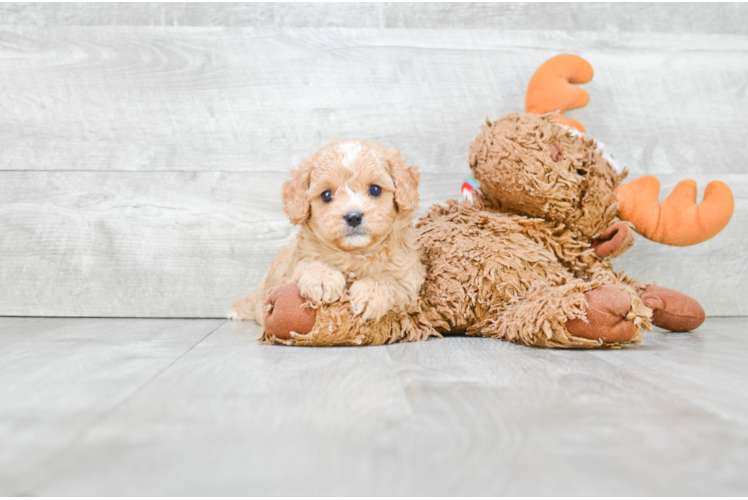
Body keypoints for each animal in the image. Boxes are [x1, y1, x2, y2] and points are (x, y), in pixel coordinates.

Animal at [231, 142, 424, 324]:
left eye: (375, 189)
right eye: (326, 195)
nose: (353, 217)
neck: (356, 254)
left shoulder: (409, 275)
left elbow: (391, 280)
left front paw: (370, 294)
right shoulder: (297, 262)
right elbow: (310, 262)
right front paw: (323, 279)